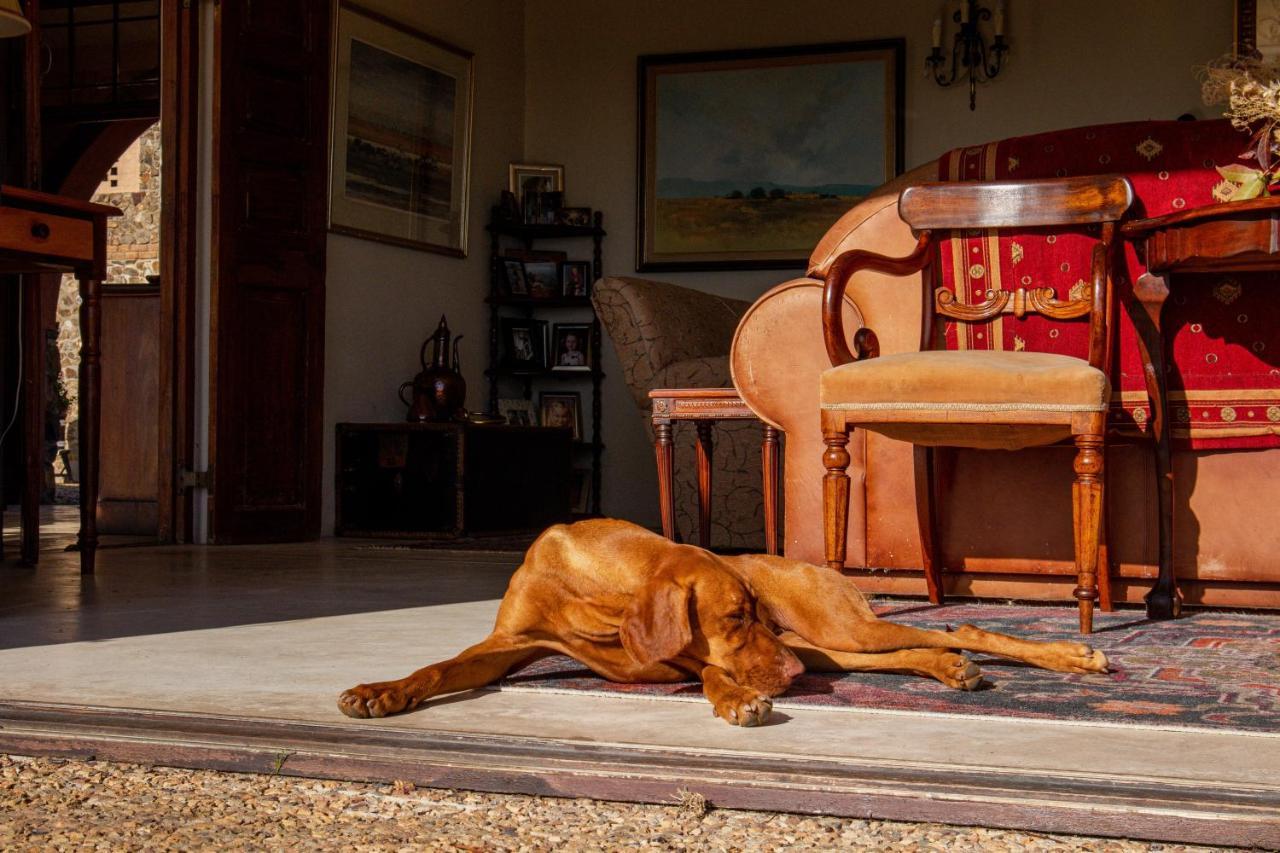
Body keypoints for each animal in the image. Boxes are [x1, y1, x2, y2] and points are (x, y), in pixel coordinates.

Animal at [340, 514, 1111, 722]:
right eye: (737, 615)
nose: (790, 674)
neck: (592, 587)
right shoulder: (505, 644)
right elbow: (437, 666)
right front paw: (381, 691)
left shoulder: (685, 655)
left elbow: (712, 675)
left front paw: (737, 700)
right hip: (829, 646)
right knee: (908, 653)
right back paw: (950, 670)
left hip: (832, 629)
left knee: (961, 626)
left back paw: (1073, 656)